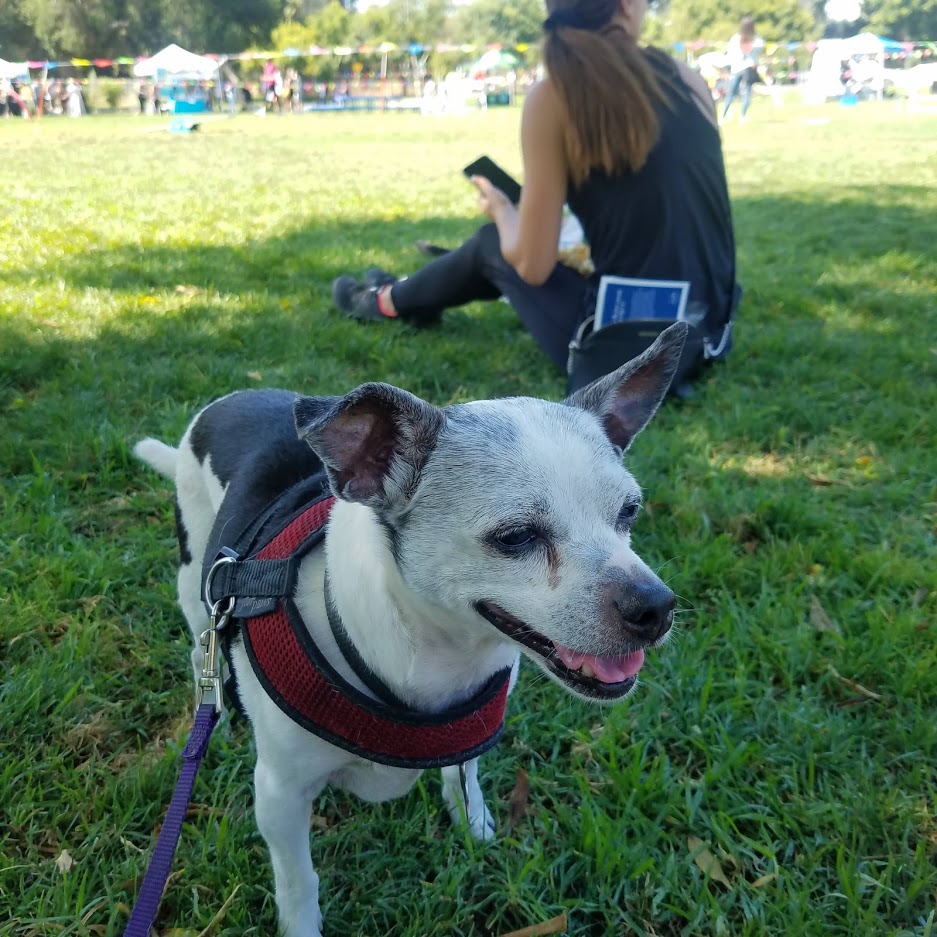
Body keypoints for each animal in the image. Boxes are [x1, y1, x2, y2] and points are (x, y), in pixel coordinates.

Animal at [132, 322, 688, 936]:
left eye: (629, 513)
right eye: (516, 537)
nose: (656, 607)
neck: (435, 658)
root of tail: (236, 396)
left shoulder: (467, 729)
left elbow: (463, 774)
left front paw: (473, 823)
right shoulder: (280, 797)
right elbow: (299, 881)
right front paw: (302, 926)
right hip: (197, 582)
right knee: (201, 652)